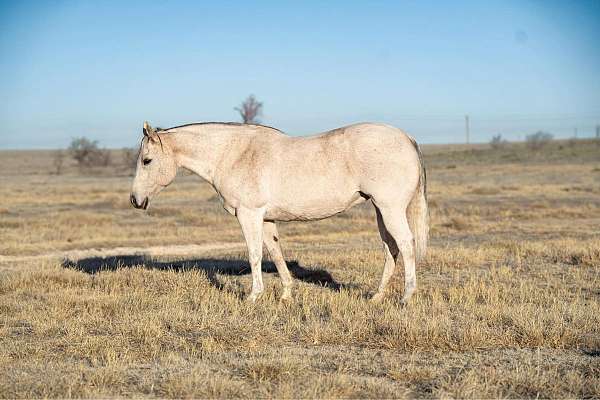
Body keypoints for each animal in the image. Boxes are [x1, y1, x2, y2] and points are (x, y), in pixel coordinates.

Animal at [129, 122, 428, 304]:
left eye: (147, 161)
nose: (135, 200)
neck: (233, 154)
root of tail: (407, 138)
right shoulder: (267, 218)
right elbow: (275, 252)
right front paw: (286, 294)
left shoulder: (248, 214)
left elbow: (254, 254)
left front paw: (253, 296)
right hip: (380, 210)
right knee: (390, 248)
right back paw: (377, 297)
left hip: (390, 209)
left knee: (405, 245)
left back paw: (406, 297)